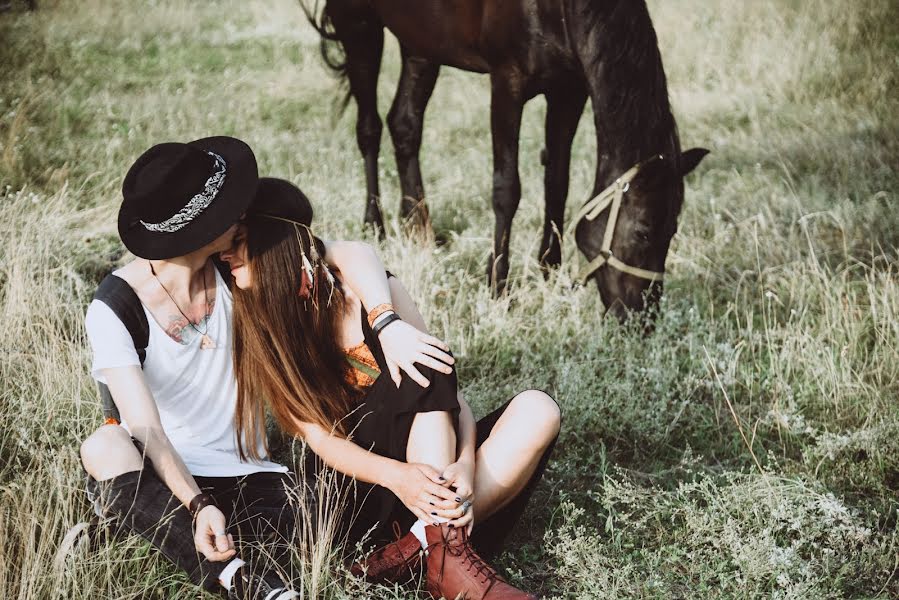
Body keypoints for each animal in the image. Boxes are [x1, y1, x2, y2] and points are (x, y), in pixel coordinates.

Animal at [306, 0, 708, 316]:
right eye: (643, 232)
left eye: (673, 231)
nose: (644, 317)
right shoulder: (507, 83)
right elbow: (507, 189)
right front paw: (498, 285)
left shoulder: (568, 89)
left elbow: (557, 182)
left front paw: (550, 271)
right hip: (359, 26)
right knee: (369, 128)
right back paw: (375, 226)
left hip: (420, 42)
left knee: (404, 125)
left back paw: (420, 230)